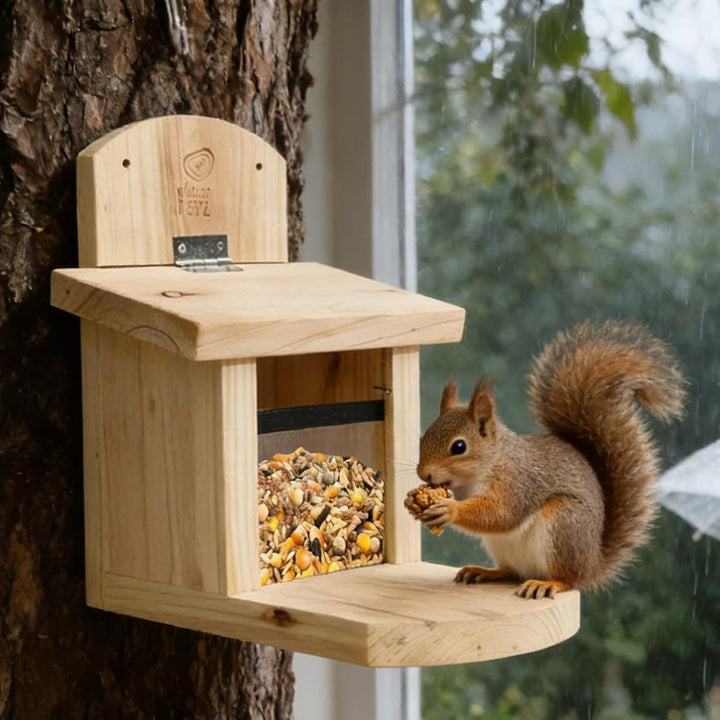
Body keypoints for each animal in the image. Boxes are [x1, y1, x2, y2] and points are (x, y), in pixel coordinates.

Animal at [406, 321, 686, 599]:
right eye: (422, 438)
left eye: (459, 446)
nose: (423, 474)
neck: (490, 464)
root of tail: (592, 564)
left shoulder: (517, 483)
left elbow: (501, 513)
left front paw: (449, 509)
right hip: (501, 545)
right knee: (510, 571)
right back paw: (485, 571)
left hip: (564, 524)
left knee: (568, 578)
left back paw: (549, 583)